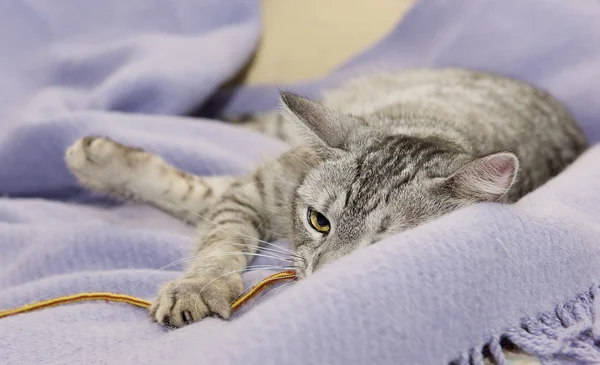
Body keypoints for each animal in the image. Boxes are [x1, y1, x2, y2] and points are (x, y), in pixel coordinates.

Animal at [64, 68, 584, 328]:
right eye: (319, 221)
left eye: (385, 245)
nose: (329, 273)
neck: (421, 123)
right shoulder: (260, 189)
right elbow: (219, 237)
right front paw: (199, 285)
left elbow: (205, 205)